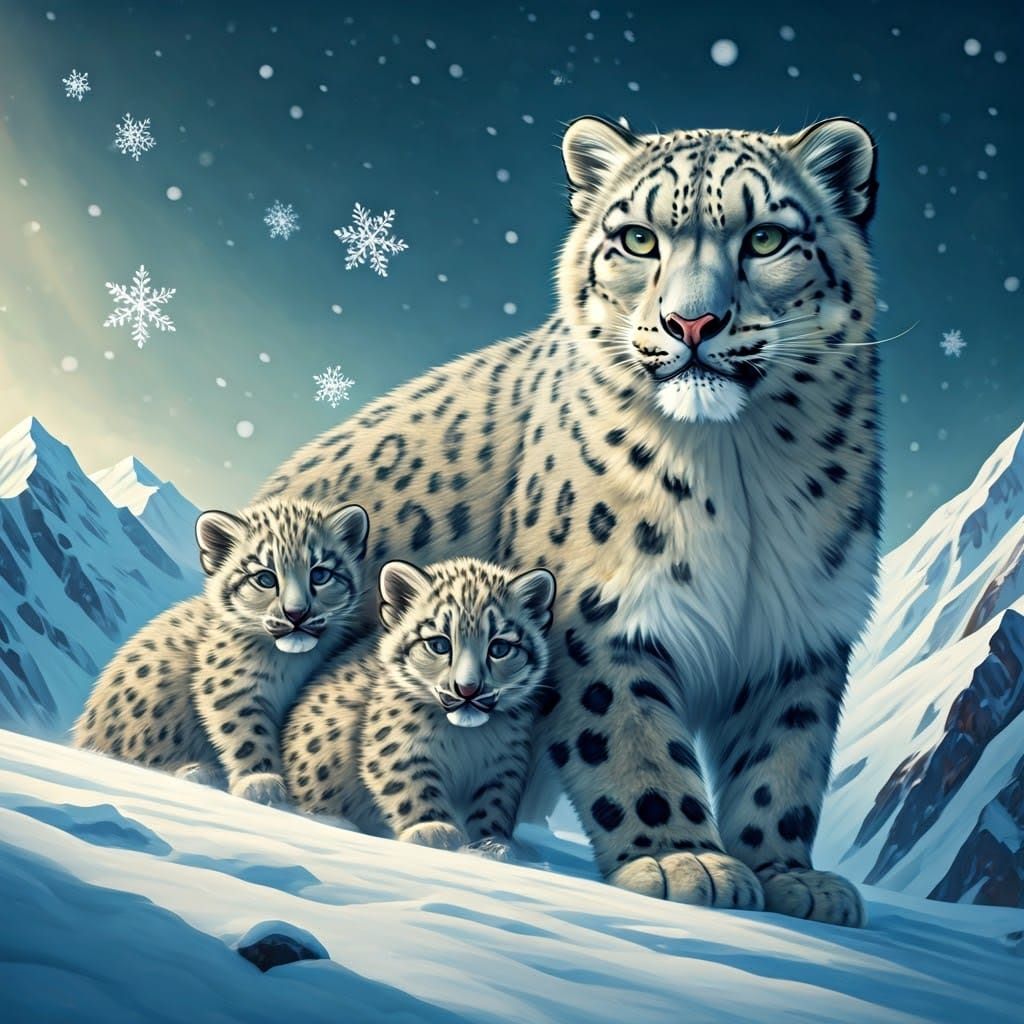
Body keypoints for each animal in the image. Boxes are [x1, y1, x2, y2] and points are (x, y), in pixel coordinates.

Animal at [74, 498, 369, 805]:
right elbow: (247, 732)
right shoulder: (231, 686)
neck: (290, 664)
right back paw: (197, 770)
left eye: (320, 574)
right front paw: (260, 781)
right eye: (265, 578)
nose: (296, 613)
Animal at [283, 556, 556, 856]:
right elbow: (411, 785)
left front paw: (492, 844)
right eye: (438, 644)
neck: (466, 740)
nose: (468, 689)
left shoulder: (503, 763)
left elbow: (493, 804)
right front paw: (434, 830)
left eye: (499, 648)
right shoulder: (398, 746)